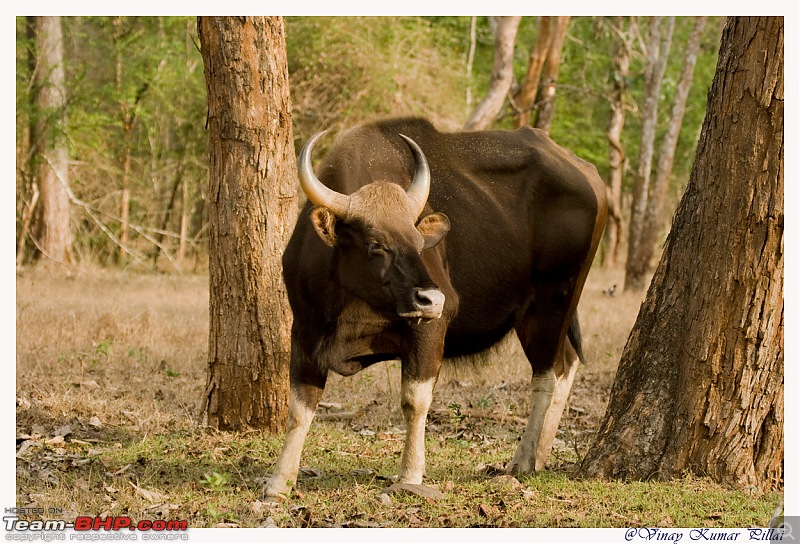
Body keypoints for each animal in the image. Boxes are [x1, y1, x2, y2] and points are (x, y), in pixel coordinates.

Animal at [262, 117, 608, 500]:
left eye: (419, 243)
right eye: (376, 244)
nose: (432, 298)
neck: (347, 301)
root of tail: (587, 174)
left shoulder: (429, 328)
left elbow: (414, 401)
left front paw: (411, 474)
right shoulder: (305, 330)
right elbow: (300, 407)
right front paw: (279, 481)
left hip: (554, 300)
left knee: (547, 375)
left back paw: (523, 459)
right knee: (566, 363)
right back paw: (541, 454)